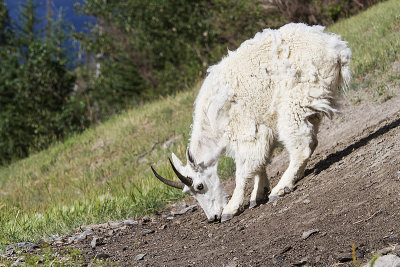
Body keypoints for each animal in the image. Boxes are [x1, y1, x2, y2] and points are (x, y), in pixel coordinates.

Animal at [152, 23, 352, 224]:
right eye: (189, 192)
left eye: (200, 186)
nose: (213, 217)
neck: (212, 121)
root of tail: (337, 50)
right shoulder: (263, 130)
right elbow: (260, 162)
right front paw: (258, 194)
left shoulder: (245, 131)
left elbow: (243, 170)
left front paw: (231, 209)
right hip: (308, 103)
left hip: (294, 103)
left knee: (301, 146)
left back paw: (281, 188)